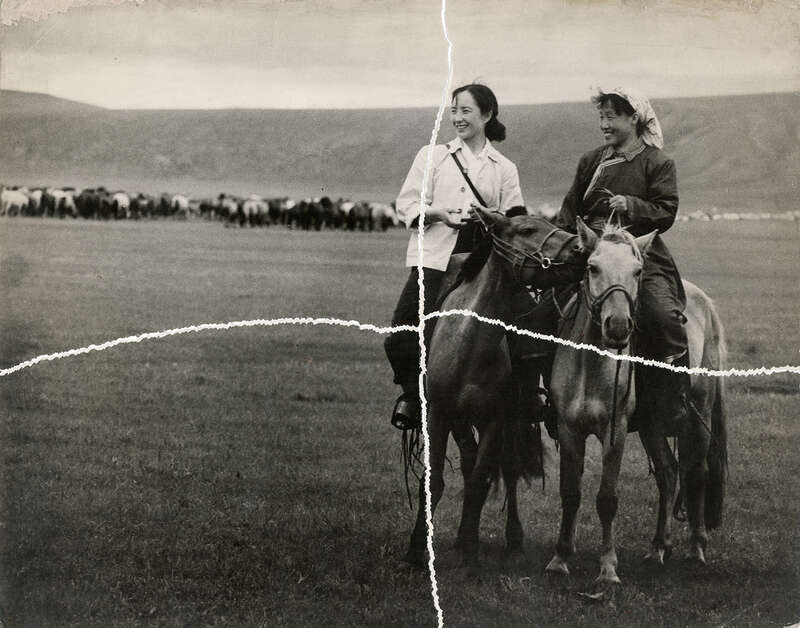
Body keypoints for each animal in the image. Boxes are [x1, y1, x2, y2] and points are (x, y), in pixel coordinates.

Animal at [403, 207, 586, 570]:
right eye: (527, 229)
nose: (580, 248)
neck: (468, 342)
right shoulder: (438, 415)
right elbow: (434, 481)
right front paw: (416, 551)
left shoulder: (494, 419)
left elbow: (480, 481)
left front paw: (471, 554)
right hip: (460, 421)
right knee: (469, 460)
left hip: (512, 417)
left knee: (508, 469)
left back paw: (511, 540)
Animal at [545, 218, 727, 586]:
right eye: (592, 267)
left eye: (637, 270)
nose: (617, 326)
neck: (591, 363)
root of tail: (705, 302)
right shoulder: (569, 429)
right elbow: (570, 493)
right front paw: (560, 558)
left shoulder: (614, 433)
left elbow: (607, 499)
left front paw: (608, 568)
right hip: (652, 426)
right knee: (668, 473)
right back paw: (658, 548)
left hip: (697, 414)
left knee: (696, 473)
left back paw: (696, 548)